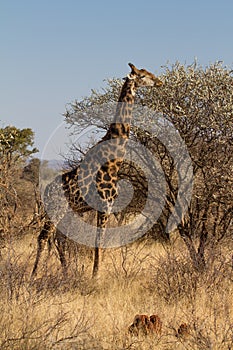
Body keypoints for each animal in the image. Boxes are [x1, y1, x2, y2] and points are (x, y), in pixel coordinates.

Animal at [31, 61, 163, 278]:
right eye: (143, 75)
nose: (160, 81)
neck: (113, 161)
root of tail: (46, 192)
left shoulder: (106, 207)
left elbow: (98, 242)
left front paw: (94, 274)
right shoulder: (105, 205)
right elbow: (99, 242)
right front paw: (96, 276)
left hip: (67, 211)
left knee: (58, 239)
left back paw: (65, 272)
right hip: (55, 210)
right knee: (43, 237)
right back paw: (35, 274)